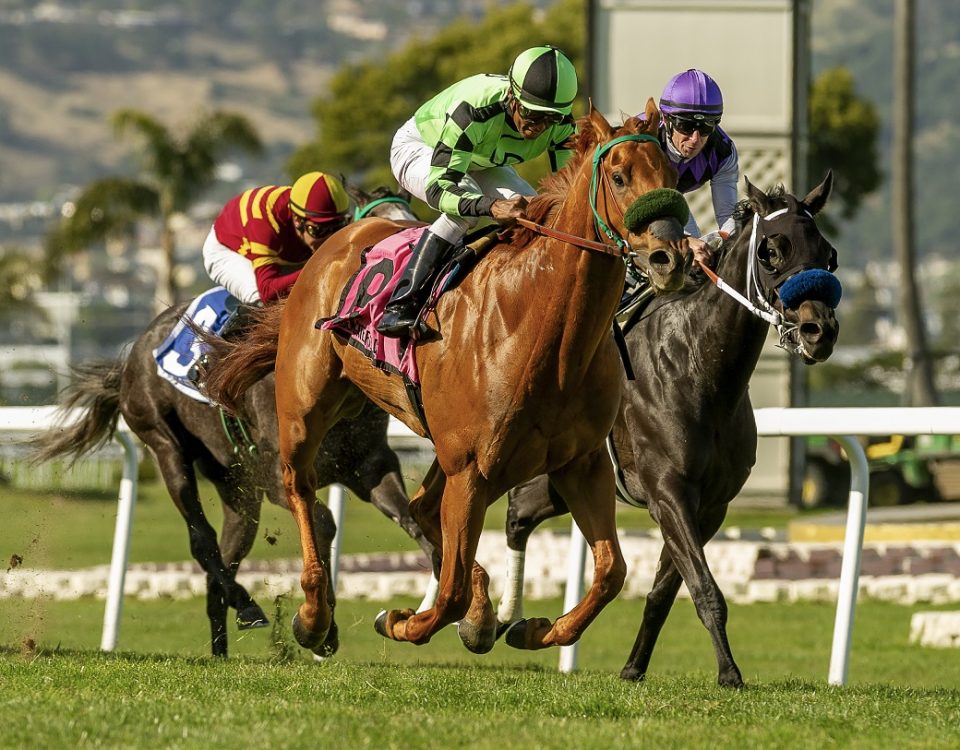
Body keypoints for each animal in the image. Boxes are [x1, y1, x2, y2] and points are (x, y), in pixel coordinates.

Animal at [206, 104, 692, 656]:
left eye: (673, 177)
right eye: (619, 176)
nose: (670, 258)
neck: (542, 330)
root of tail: (334, 245)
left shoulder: (581, 463)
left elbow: (611, 571)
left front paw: (533, 628)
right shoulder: (471, 468)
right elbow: (452, 590)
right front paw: (402, 621)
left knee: (420, 509)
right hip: (305, 407)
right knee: (300, 486)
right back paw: (313, 616)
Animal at [496, 175, 840, 688]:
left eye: (829, 254)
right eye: (771, 251)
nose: (820, 330)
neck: (701, 370)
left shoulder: (710, 505)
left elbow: (664, 593)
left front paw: (633, 667)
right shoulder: (668, 491)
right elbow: (705, 589)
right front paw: (730, 673)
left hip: (563, 481)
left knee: (519, 511)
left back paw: (507, 623)